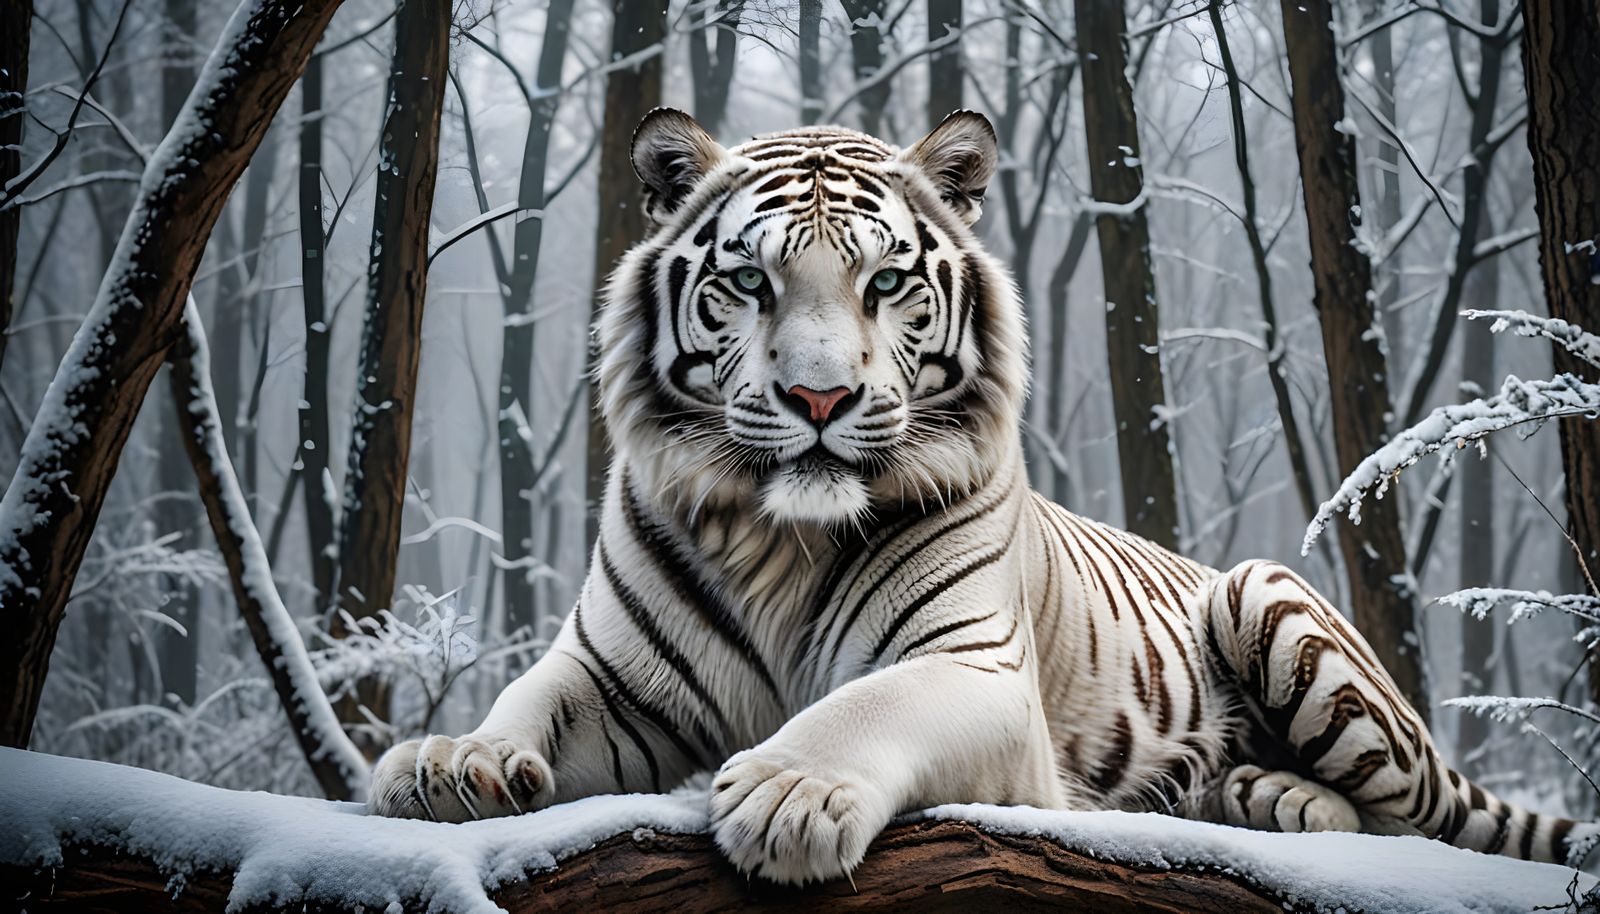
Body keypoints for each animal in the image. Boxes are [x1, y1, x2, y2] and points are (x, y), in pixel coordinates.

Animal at [368, 108, 1597, 884]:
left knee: (1416, 817)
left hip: (1270, 596)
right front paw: (451, 761)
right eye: (750, 280)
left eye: (885, 282)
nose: (820, 395)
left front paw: (787, 794)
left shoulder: (974, 668)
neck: (781, 540)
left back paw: (1283, 798)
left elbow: (866, 705)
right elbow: (530, 696)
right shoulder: (614, 678)